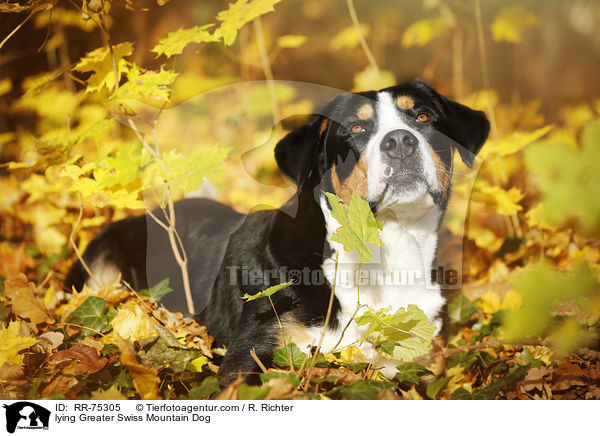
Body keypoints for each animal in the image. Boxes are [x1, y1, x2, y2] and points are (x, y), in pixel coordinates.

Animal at [65, 79, 490, 384]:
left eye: (423, 118)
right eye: (356, 127)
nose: (400, 141)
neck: (386, 249)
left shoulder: (422, 357)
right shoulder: (253, 353)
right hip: (101, 270)